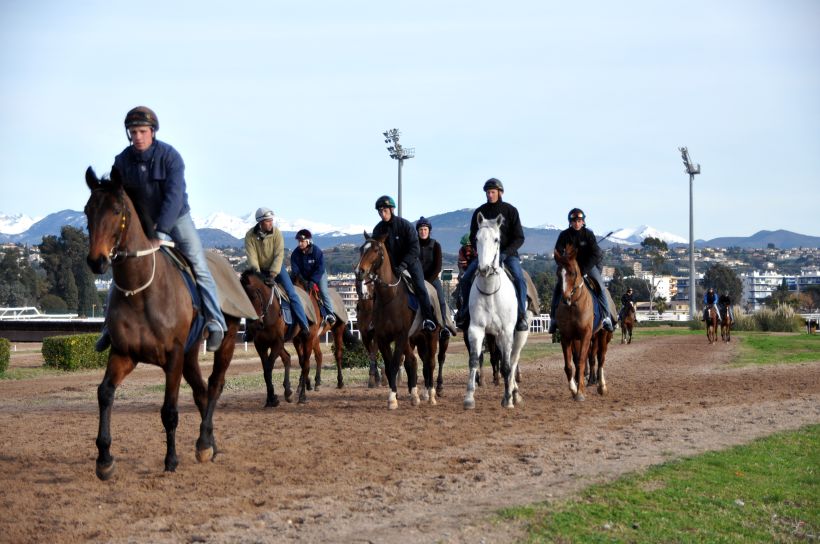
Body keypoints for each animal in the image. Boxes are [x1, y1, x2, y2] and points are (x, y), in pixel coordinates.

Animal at [84, 167, 240, 480]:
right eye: (86, 211)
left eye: (116, 210)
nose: (97, 260)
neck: (141, 291)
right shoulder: (124, 353)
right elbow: (105, 393)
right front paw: (104, 459)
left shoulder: (174, 355)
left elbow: (169, 411)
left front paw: (171, 460)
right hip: (191, 353)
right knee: (201, 391)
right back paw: (209, 444)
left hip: (225, 340)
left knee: (215, 385)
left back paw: (203, 442)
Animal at [239, 270, 318, 404]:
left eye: (254, 296)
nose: (254, 325)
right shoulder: (260, 345)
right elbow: (266, 370)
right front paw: (271, 398)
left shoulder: (277, 342)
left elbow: (269, 368)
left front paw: (272, 398)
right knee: (288, 358)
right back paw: (288, 392)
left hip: (307, 339)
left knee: (305, 365)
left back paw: (302, 396)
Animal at [354, 233, 442, 408]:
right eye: (361, 249)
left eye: (376, 250)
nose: (359, 271)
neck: (390, 297)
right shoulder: (382, 338)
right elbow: (389, 366)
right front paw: (393, 395)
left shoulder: (400, 335)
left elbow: (395, 364)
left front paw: (392, 399)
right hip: (414, 339)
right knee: (413, 361)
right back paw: (414, 395)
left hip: (431, 336)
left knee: (430, 363)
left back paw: (431, 395)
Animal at [462, 212, 532, 408]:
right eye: (476, 238)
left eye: (496, 239)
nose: (484, 268)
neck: (490, 292)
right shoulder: (475, 329)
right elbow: (474, 360)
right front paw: (469, 397)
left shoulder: (507, 331)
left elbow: (507, 366)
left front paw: (507, 399)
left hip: (519, 335)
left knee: (513, 361)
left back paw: (514, 393)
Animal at [556, 243, 612, 400]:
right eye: (558, 273)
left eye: (573, 273)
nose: (565, 298)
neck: (573, 306)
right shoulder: (566, 337)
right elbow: (569, 365)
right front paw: (574, 389)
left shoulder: (586, 335)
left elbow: (582, 362)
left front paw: (580, 392)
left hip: (603, 335)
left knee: (600, 358)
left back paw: (601, 386)